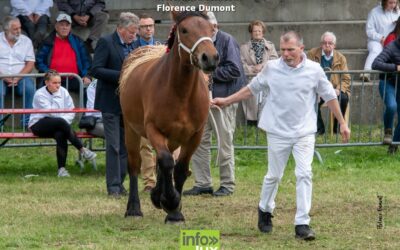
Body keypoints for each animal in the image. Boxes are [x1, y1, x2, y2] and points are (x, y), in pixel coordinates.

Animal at [119, 10, 219, 224]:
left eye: (210, 29)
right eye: (184, 29)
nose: (210, 58)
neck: (180, 93)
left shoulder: (194, 135)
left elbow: (179, 169)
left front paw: (174, 210)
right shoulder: (153, 130)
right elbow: (166, 161)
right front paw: (170, 201)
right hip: (131, 131)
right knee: (134, 166)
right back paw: (134, 208)